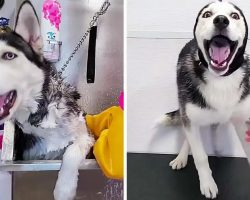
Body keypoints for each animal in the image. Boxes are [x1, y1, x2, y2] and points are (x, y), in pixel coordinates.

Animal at [165, 0, 249, 199]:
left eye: (234, 15)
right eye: (207, 14)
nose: (221, 20)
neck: (221, 79)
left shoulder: (245, 121)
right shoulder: (191, 118)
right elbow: (200, 156)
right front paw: (207, 184)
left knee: (216, 125)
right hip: (187, 109)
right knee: (189, 134)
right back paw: (181, 157)